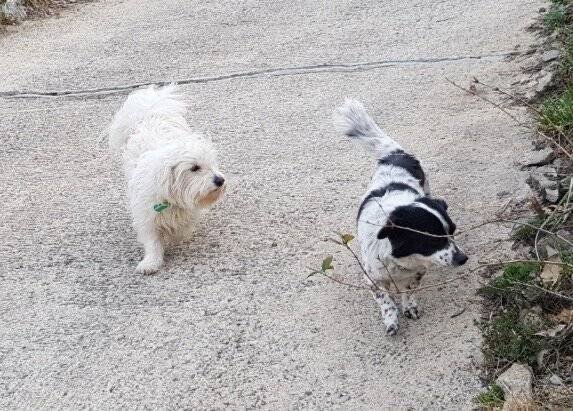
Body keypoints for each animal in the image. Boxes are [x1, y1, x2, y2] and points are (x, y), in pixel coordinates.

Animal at [108, 84, 225, 274]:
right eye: (194, 168)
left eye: (212, 164)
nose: (220, 180)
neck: (171, 198)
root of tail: (151, 113)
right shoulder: (146, 218)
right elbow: (153, 242)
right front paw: (151, 262)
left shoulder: (188, 216)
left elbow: (180, 231)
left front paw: (171, 237)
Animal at [332, 100, 466, 338]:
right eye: (431, 239)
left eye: (452, 232)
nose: (463, 259)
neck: (402, 260)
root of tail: (396, 154)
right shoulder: (371, 278)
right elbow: (384, 298)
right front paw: (391, 318)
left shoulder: (419, 271)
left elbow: (409, 289)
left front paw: (409, 306)